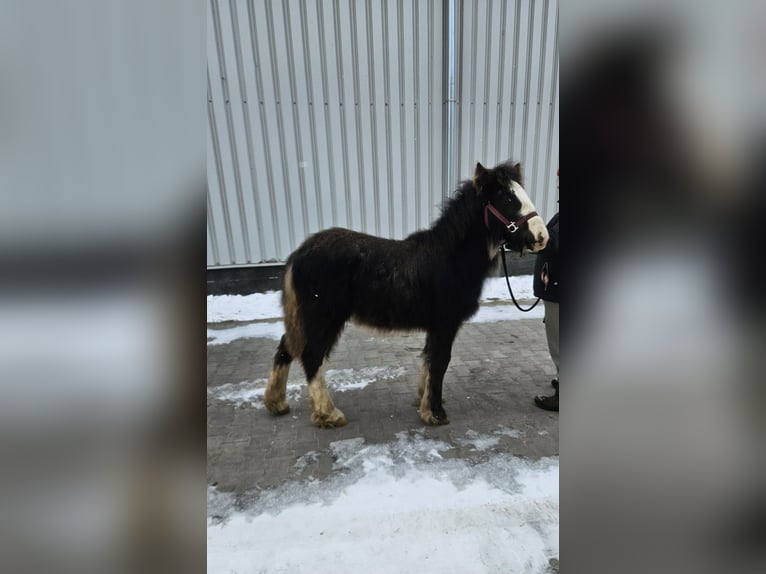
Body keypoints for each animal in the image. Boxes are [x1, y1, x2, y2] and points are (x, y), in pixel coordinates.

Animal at [266, 161, 552, 428]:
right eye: (507, 199)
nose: (542, 237)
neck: (451, 259)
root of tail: (299, 253)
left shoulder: (435, 326)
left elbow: (428, 359)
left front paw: (424, 401)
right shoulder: (445, 324)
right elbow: (440, 361)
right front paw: (435, 413)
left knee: (286, 347)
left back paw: (276, 403)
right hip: (323, 318)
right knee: (311, 356)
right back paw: (328, 414)